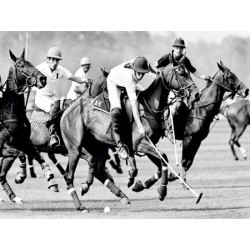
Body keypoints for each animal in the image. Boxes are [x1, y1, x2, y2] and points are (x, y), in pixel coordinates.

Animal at [0, 48, 58, 203]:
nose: (42, 79)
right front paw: (20, 175)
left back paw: (14, 197)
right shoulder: (7, 146)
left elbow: (37, 156)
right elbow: (21, 153)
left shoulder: (25, 141)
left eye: (30, 63)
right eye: (20, 65)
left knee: (1, 175)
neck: (10, 112)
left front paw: (51, 180)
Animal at [59, 62, 199, 211]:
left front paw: (139, 185)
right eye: (182, 73)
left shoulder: (148, 145)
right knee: (69, 175)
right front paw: (162, 191)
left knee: (98, 170)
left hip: (98, 146)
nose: (197, 94)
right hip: (75, 148)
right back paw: (80, 206)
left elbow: (160, 165)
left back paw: (118, 195)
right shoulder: (140, 143)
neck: (149, 107)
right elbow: (163, 158)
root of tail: (67, 111)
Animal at [162, 61, 248, 189]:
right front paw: (183, 183)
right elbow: (184, 161)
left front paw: (175, 177)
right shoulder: (189, 138)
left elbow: (189, 162)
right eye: (230, 76)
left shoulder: (197, 140)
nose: (246, 90)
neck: (201, 108)